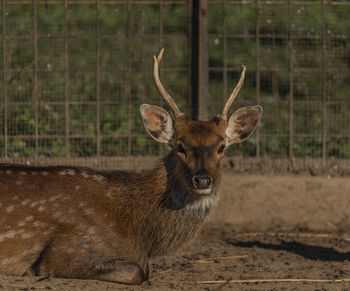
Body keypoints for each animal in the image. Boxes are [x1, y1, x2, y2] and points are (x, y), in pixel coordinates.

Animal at [0, 48, 262, 286]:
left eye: (221, 147)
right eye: (180, 146)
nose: (203, 179)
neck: (137, 232)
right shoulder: (66, 248)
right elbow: (139, 272)